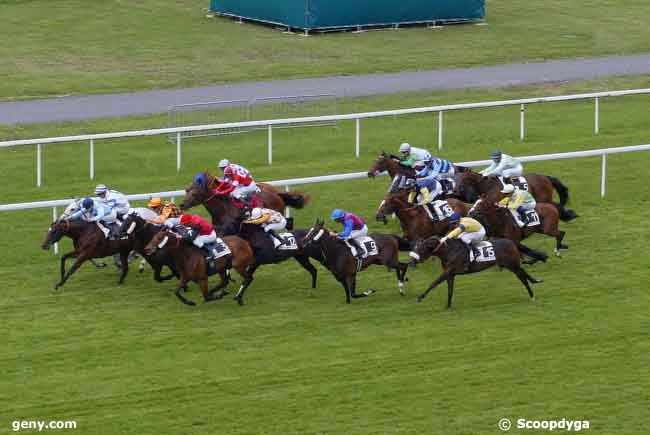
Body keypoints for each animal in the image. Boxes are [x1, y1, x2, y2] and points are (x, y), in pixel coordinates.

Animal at [408, 235, 540, 310]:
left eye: (421, 249)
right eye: (416, 248)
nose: (412, 261)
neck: (449, 251)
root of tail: (512, 242)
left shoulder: (449, 271)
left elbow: (434, 283)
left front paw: (420, 297)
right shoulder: (450, 274)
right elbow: (450, 290)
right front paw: (448, 306)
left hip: (512, 265)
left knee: (523, 278)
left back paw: (532, 295)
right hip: (511, 265)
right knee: (524, 274)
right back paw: (535, 282)